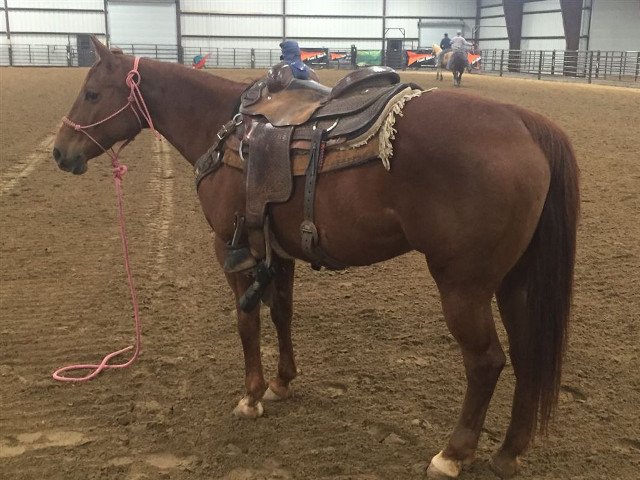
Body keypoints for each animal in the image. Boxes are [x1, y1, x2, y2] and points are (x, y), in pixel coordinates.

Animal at [53, 37, 579, 479]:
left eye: (93, 93)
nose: (60, 152)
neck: (224, 129)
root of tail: (526, 124)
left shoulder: (230, 247)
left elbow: (246, 322)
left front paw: (251, 397)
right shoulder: (276, 251)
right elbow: (282, 313)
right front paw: (282, 382)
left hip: (463, 287)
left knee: (487, 362)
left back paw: (453, 453)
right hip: (515, 283)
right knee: (527, 355)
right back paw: (508, 452)